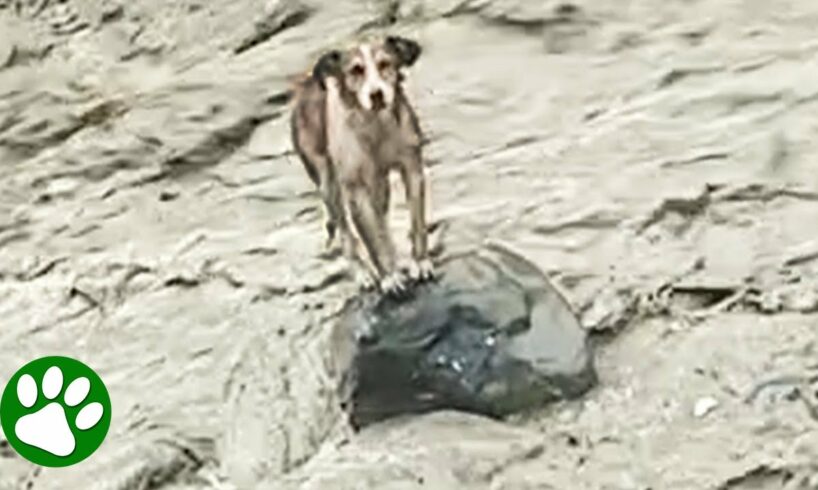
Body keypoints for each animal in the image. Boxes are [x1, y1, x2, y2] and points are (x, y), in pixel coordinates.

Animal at [290, 36, 436, 296]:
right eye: (356, 70)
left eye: (385, 64)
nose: (376, 94)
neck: (375, 127)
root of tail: (306, 83)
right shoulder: (355, 190)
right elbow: (370, 239)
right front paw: (388, 277)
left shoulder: (412, 169)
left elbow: (416, 223)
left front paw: (420, 262)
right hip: (328, 184)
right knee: (346, 234)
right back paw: (363, 273)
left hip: (379, 184)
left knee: (380, 220)